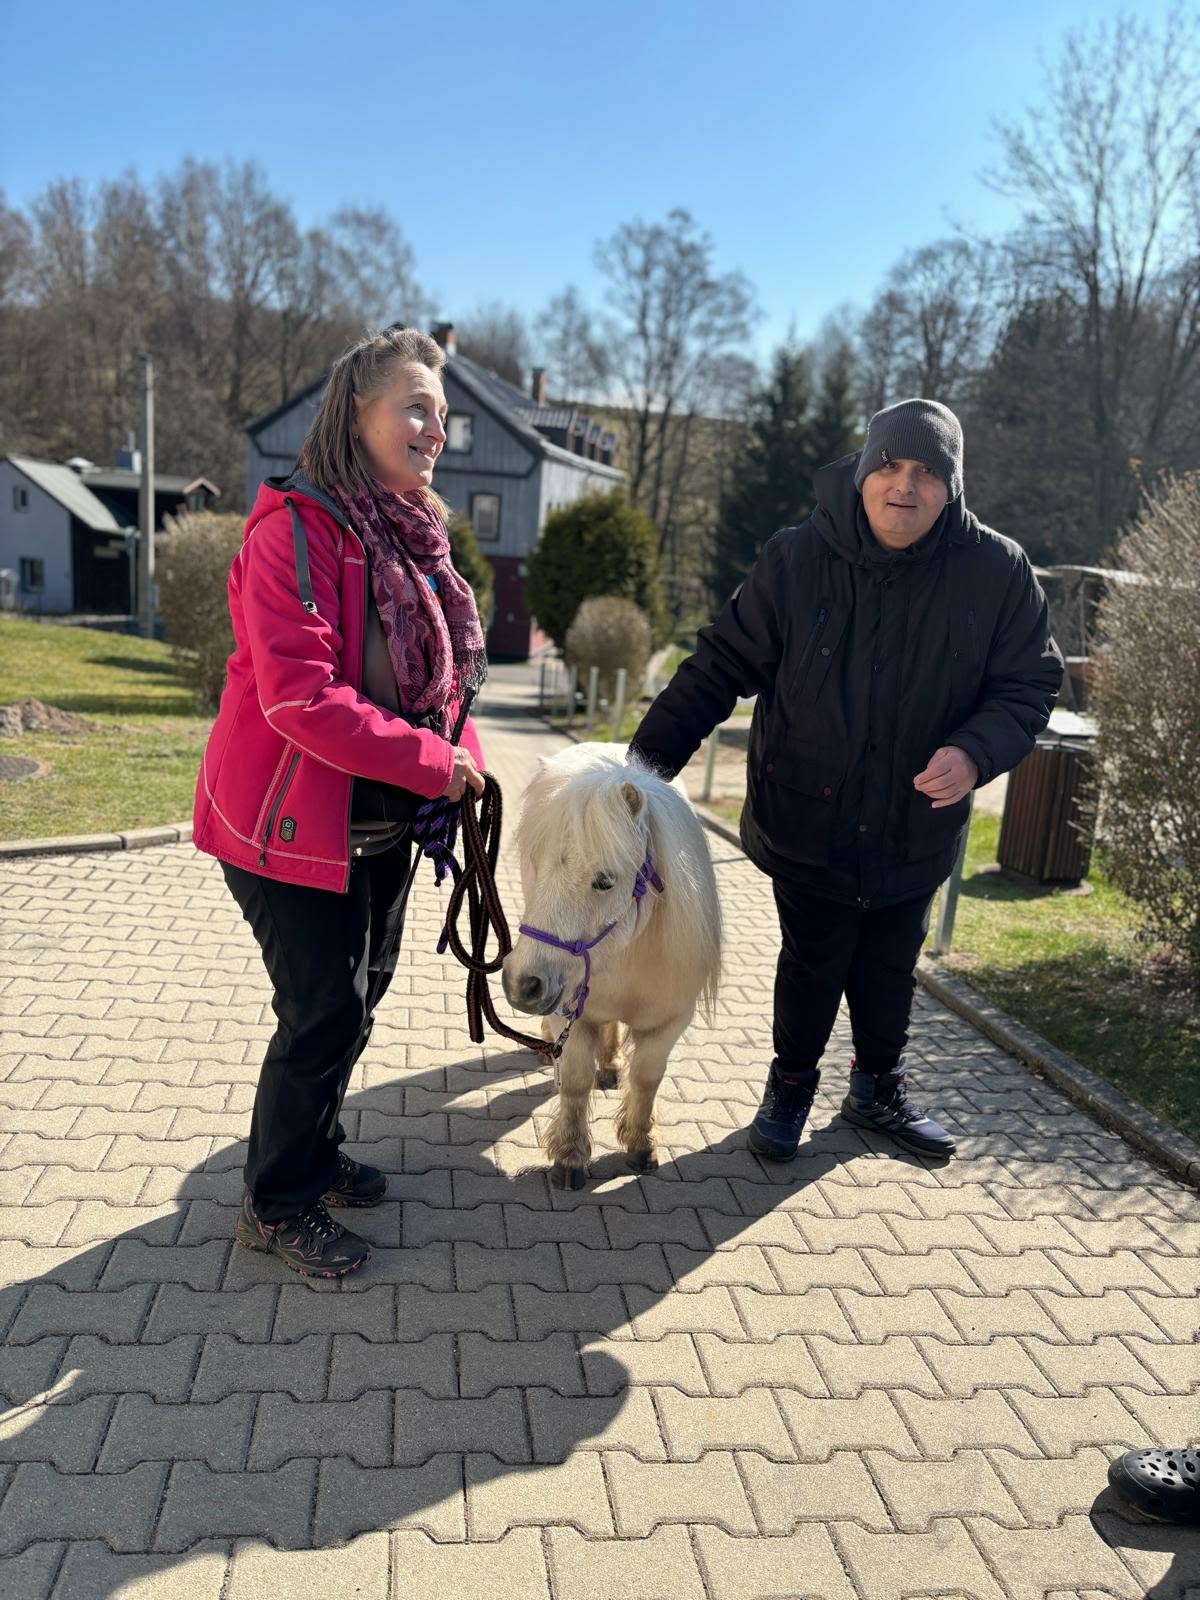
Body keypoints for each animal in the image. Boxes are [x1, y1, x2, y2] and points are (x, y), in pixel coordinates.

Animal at [501, 743, 722, 1189]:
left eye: (605, 880)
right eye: (537, 864)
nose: (522, 984)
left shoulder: (668, 1022)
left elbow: (647, 1079)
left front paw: (640, 1144)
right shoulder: (571, 1013)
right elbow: (575, 1082)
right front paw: (569, 1157)